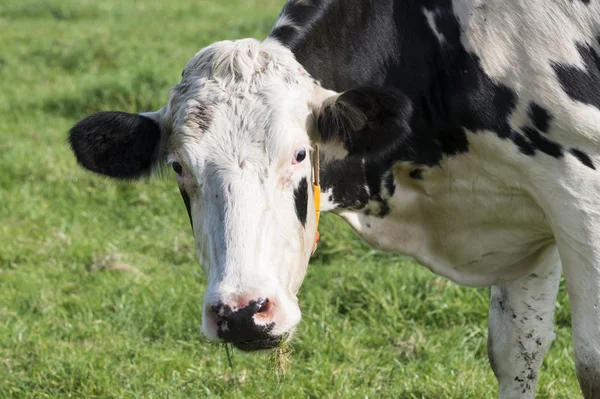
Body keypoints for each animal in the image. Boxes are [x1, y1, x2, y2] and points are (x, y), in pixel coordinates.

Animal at [68, 1, 596, 398]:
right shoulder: (528, 210)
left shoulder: (575, 194)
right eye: (179, 166)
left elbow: (588, 360)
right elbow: (516, 349)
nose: (241, 313)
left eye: (300, 153)